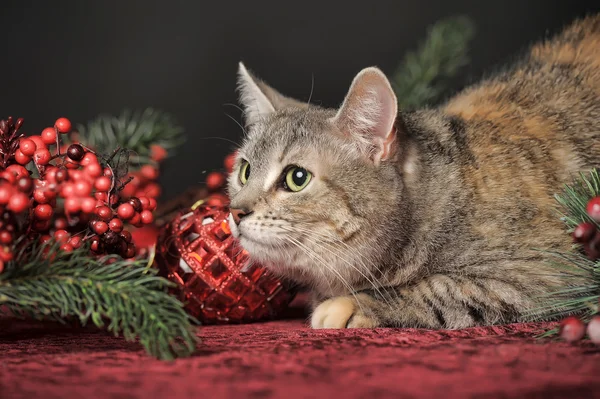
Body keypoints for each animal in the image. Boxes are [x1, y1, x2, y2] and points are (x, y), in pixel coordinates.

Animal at [226, 14, 600, 330]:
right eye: (245, 170)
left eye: (296, 178)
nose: (235, 211)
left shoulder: (547, 272)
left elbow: (442, 287)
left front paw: (352, 304)